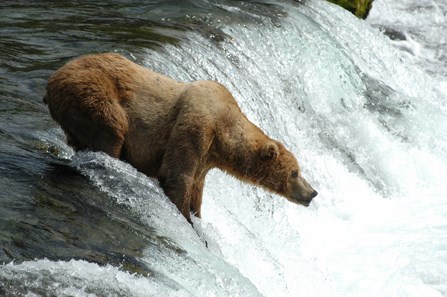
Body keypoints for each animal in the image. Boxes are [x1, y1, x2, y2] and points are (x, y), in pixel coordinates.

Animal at [43, 52, 318, 222]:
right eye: (295, 172)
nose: (313, 192)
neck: (223, 134)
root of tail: (53, 78)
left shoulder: (207, 157)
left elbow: (196, 187)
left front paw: (197, 217)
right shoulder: (194, 128)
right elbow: (177, 176)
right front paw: (188, 220)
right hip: (93, 94)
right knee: (111, 130)